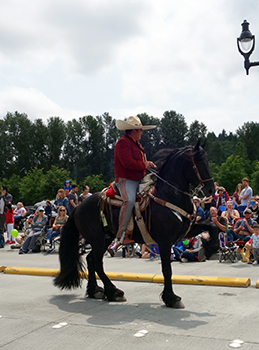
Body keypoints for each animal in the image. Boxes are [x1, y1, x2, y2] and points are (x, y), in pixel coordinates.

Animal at [54, 141, 215, 308]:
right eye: (200, 162)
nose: (211, 189)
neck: (169, 195)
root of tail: (78, 207)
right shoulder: (165, 241)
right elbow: (167, 269)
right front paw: (171, 298)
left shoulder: (184, 232)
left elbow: (212, 226)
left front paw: (210, 248)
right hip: (98, 239)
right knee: (96, 261)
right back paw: (114, 292)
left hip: (106, 238)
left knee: (91, 260)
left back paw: (95, 291)